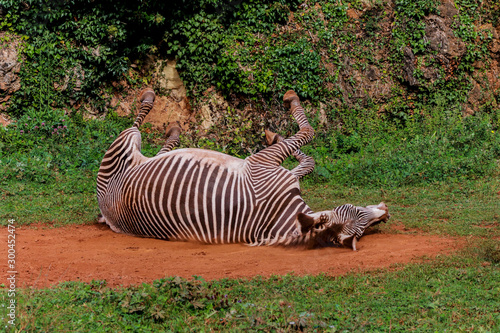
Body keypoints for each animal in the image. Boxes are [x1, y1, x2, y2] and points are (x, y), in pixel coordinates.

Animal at [95, 88, 388, 249]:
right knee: (147, 140)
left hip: (125, 145)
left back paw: (166, 120)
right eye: (357, 214)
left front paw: (288, 109)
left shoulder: (263, 166)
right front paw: (277, 133)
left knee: (140, 131)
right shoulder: (264, 165)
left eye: (364, 228)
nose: (386, 213)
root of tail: (106, 214)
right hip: (128, 145)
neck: (281, 213)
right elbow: (306, 149)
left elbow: (308, 136)